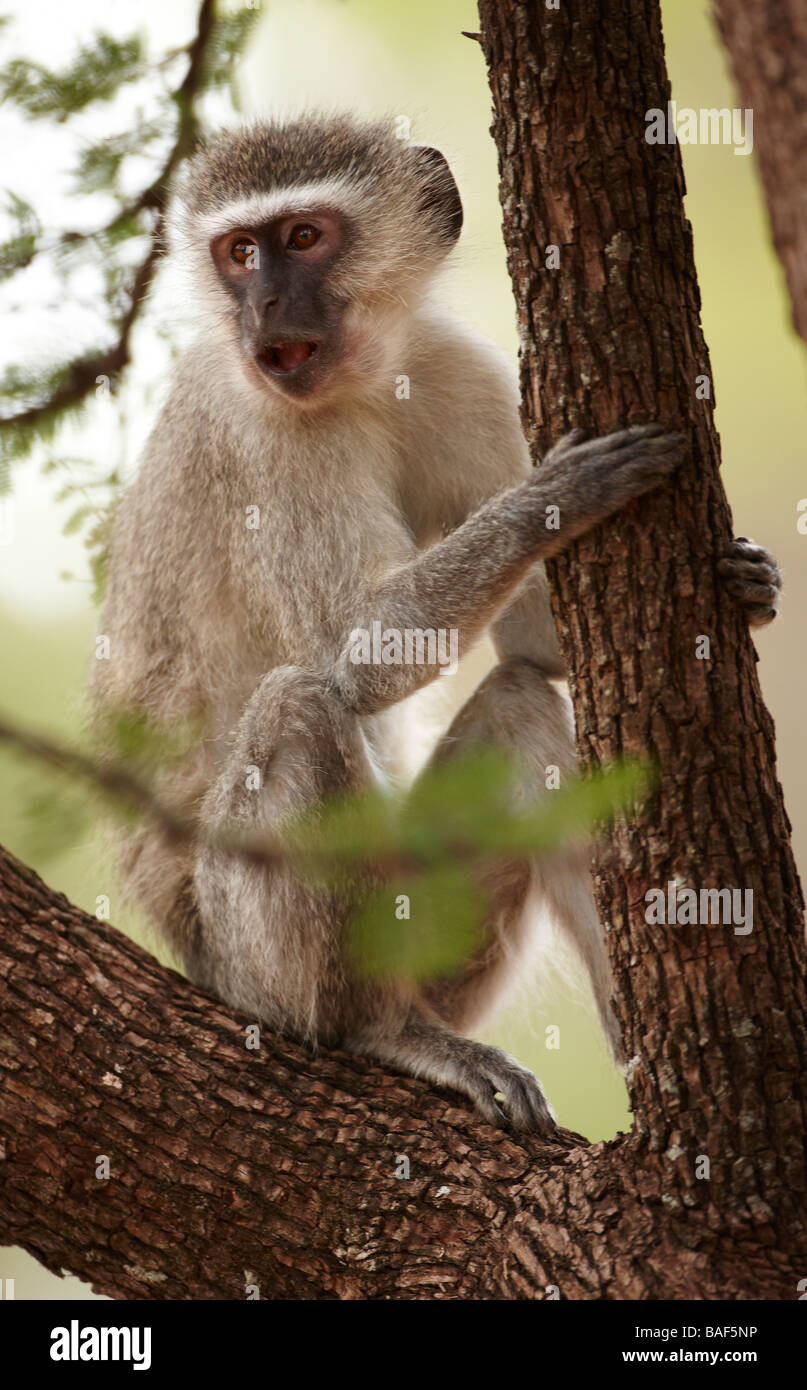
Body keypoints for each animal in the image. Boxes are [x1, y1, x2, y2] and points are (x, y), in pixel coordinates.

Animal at [90, 116, 777, 1128]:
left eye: (303, 238)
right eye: (239, 252)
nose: (264, 306)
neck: (368, 379)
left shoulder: (460, 371)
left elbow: (535, 652)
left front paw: (747, 577)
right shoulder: (259, 429)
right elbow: (353, 650)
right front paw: (550, 500)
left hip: (437, 934)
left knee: (521, 703)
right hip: (249, 963)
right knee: (299, 706)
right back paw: (382, 1034)